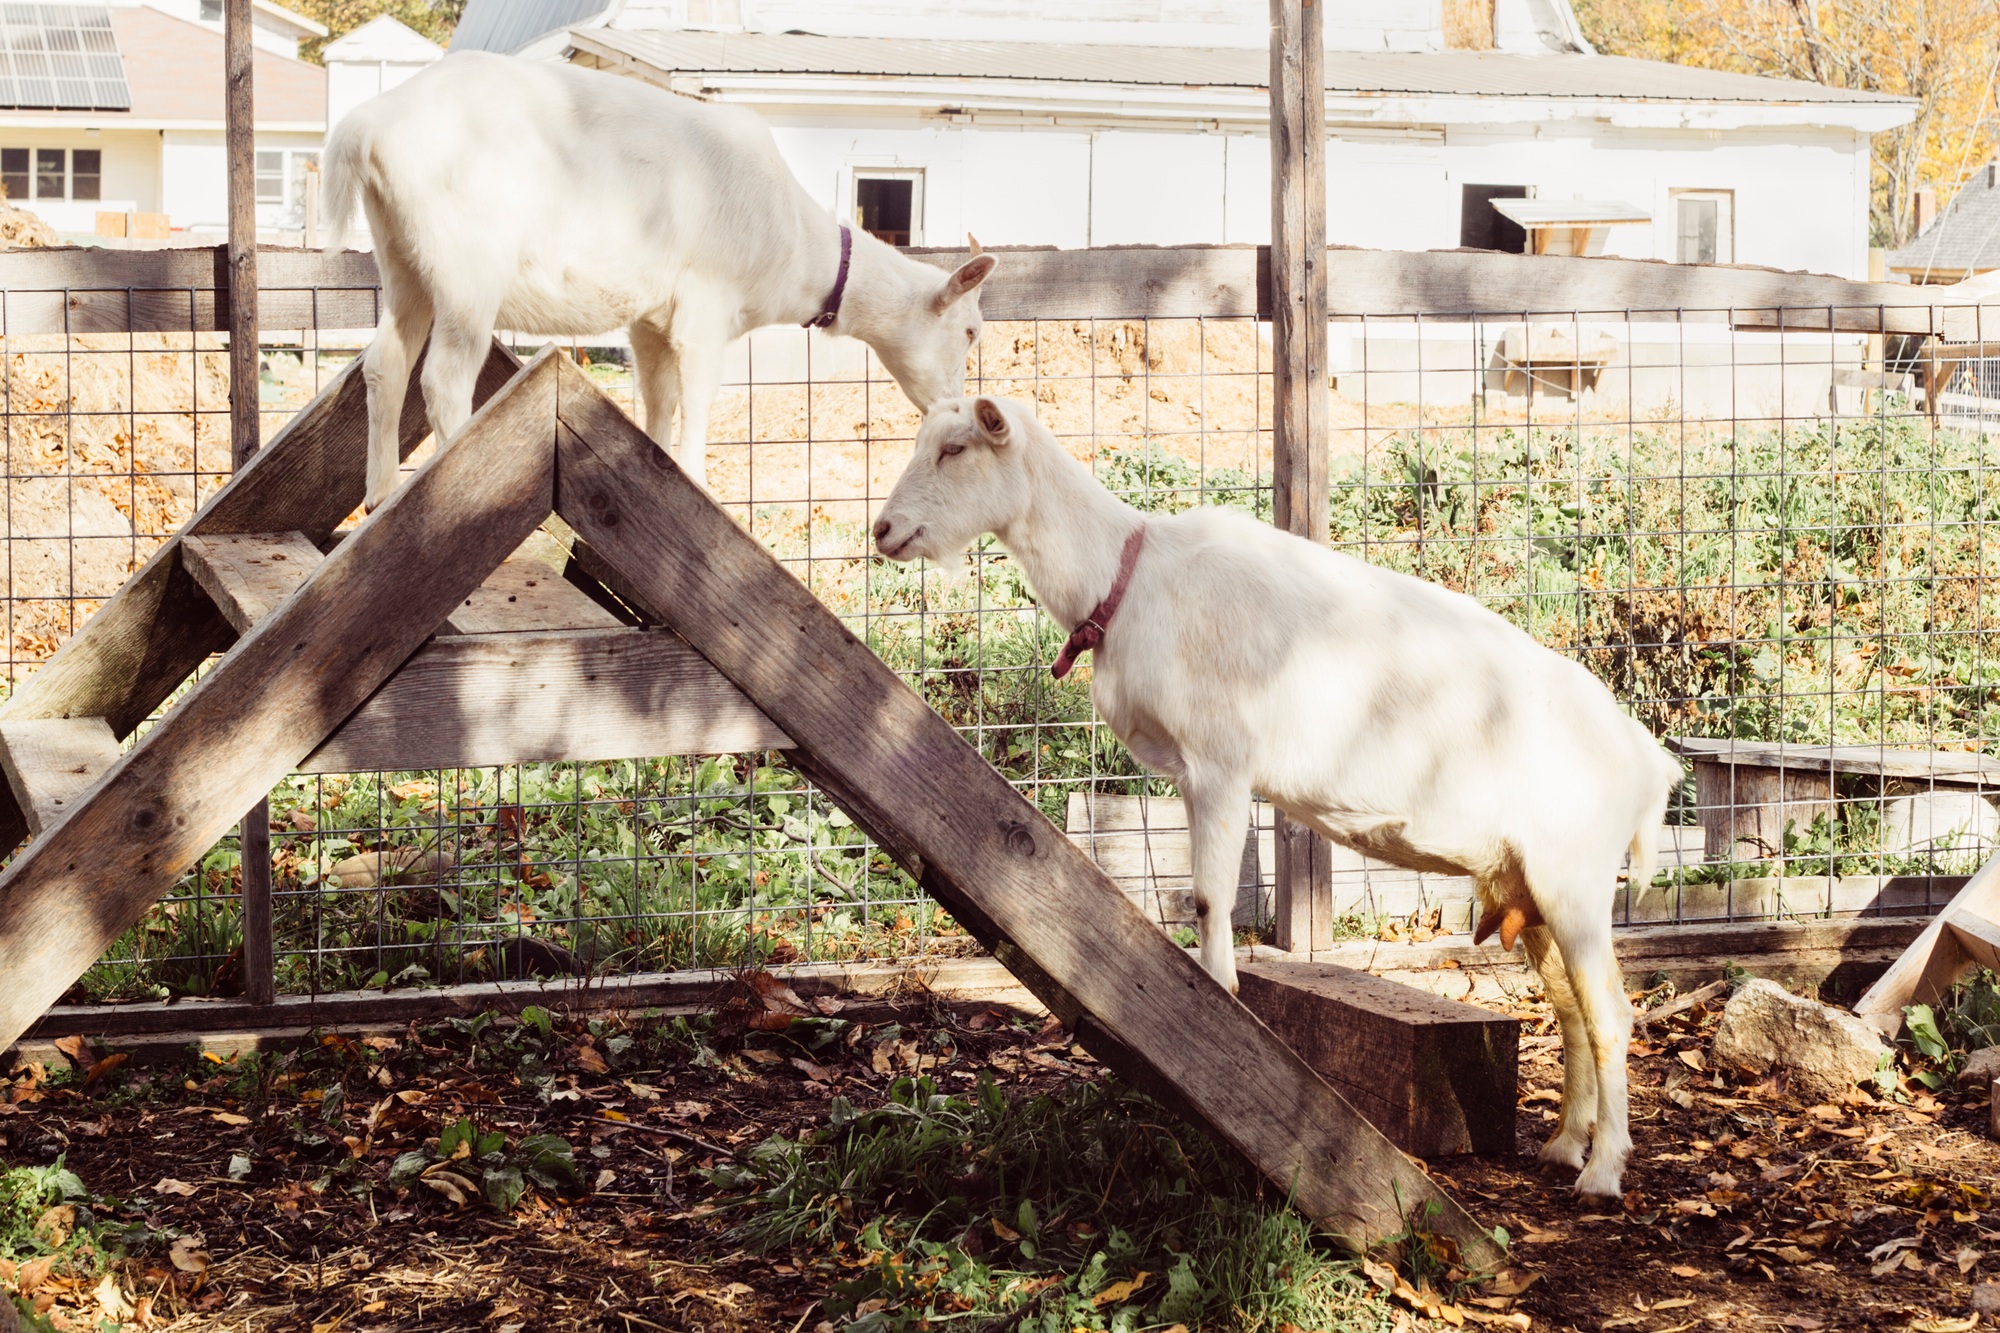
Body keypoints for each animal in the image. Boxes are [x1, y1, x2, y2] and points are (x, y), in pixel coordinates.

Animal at [322, 54, 1000, 506]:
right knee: (442, 379)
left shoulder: (650, 320)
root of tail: (367, 126)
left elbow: (660, 399)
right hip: (468, 267)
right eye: (970, 331)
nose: (955, 407)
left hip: (402, 256)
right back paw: (453, 480)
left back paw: (379, 497)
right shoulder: (707, 308)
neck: (795, 250)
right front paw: (700, 485)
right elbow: (698, 399)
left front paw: (657, 471)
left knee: (385, 362)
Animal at [880, 394, 1688, 1192]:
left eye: (955, 448)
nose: (883, 529)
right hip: (1530, 884)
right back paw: (1564, 1145)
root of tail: (1647, 760)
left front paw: (1220, 1002)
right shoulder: (1194, 772)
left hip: (1574, 876)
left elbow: (1210, 896)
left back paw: (1602, 1172)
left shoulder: (1220, 762)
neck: (1131, 579)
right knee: (1573, 1009)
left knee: (1611, 1014)